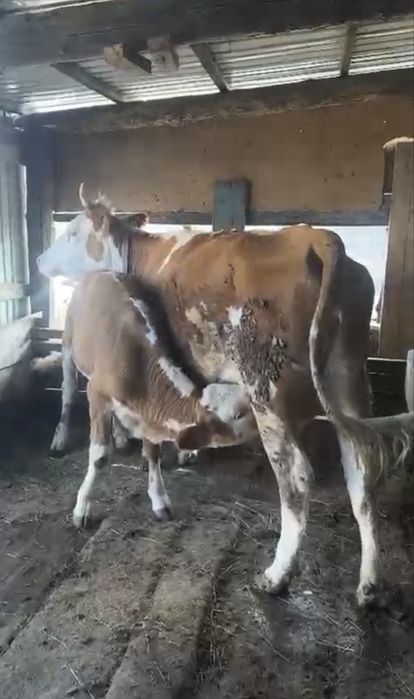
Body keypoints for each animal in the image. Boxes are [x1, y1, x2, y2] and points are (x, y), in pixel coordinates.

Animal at [37, 186, 412, 606]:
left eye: (71, 232)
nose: (39, 260)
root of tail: (316, 239)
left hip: (267, 391)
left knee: (296, 478)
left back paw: (277, 574)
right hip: (348, 377)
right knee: (361, 469)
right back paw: (368, 584)